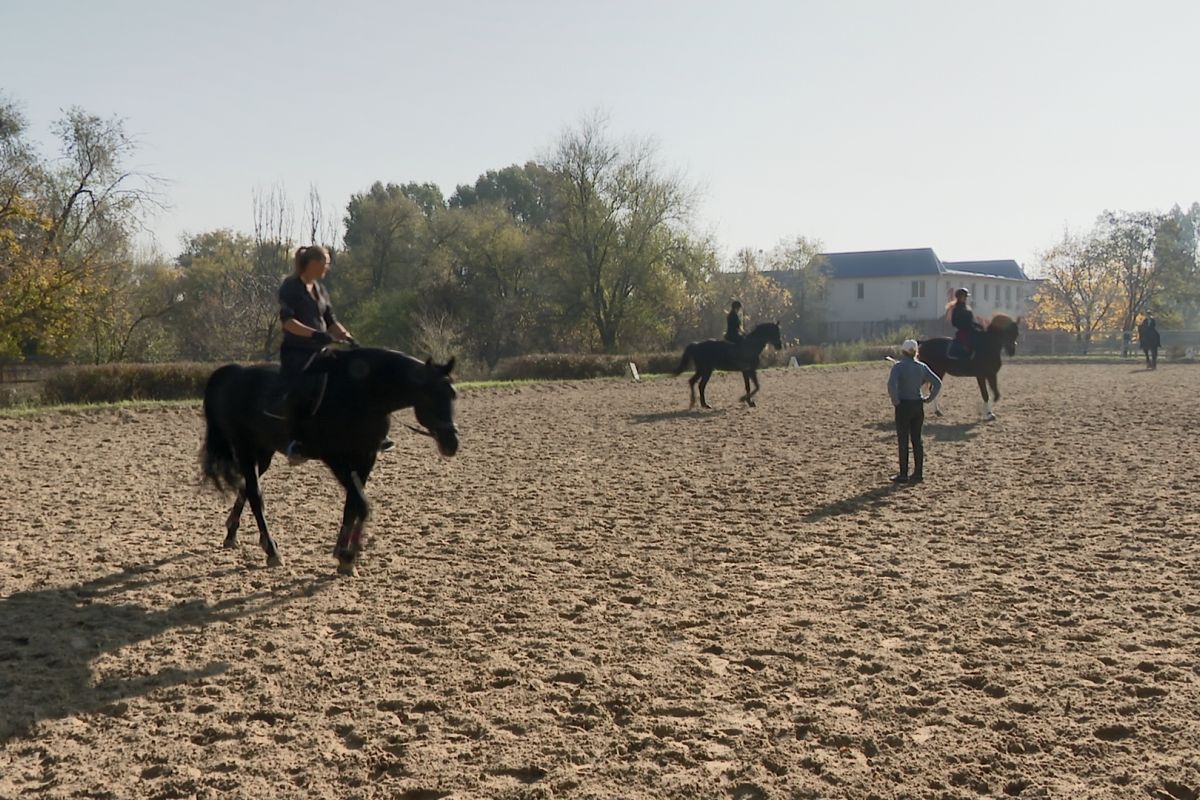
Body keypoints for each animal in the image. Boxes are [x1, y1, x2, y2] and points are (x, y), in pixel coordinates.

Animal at [201, 345, 453, 575]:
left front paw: (341, 551)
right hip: (245, 449)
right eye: (431, 395)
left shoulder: (366, 457)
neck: (363, 393)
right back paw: (272, 551)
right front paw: (348, 558)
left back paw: (233, 534)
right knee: (255, 494)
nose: (452, 443)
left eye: (453, 396)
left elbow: (352, 504)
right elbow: (362, 504)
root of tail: (235, 372)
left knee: (246, 487)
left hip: (263, 452)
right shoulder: (335, 458)